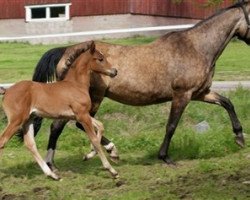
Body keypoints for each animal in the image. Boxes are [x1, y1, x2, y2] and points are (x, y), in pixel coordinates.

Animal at [0, 41, 118, 180]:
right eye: (100, 59)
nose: (115, 71)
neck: (76, 85)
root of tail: (7, 91)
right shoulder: (82, 115)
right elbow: (94, 139)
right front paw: (111, 170)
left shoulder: (79, 115)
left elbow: (100, 126)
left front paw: (89, 155)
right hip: (16, 121)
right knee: (3, 141)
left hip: (28, 120)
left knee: (30, 144)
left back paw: (52, 174)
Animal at [31, 1, 248, 169]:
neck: (196, 48)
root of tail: (66, 51)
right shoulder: (182, 94)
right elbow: (171, 125)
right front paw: (165, 158)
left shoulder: (200, 93)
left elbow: (227, 103)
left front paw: (239, 137)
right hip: (92, 98)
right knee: (74, 124)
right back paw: (107, 151)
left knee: (59, 127)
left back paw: (53, 164)